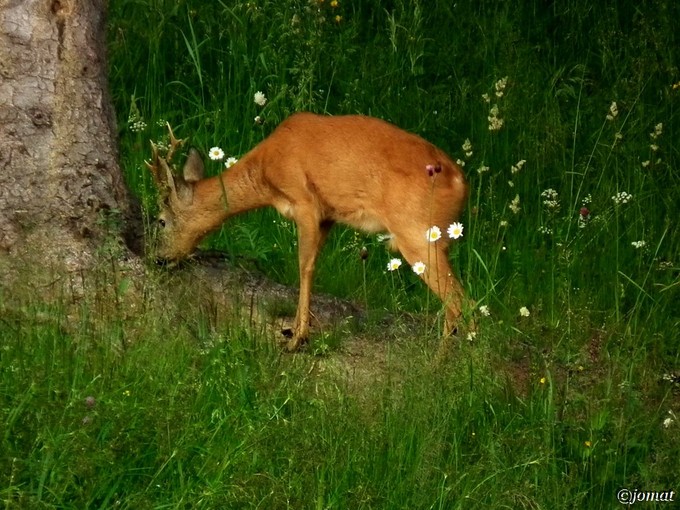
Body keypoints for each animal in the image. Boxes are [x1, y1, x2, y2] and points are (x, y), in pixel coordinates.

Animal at [147, 112, 470, 352]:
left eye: (161, 220)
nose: (158, 258)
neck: (265, 171)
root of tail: (460, 183)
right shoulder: (328, 216)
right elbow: (312, 264)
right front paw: (299, 330)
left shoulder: (304, 202)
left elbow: (304, 265)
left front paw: (297, 337)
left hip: (418, 234)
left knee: (458, 302)